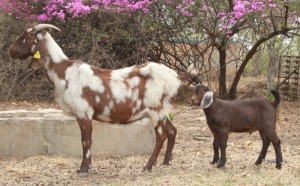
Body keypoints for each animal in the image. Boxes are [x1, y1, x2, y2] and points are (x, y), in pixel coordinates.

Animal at [7, 24, 197, 177]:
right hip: (163, 110)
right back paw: (166, 162)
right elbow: (85, 140)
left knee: (161, 136)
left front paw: (83, 169)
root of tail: (176, 76)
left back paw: (148, 166)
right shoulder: (80, 115)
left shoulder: (84, 112)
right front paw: (86, 167)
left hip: (155, 110)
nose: (10, 50)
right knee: (172, 131)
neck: (63, 71)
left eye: (27, 37)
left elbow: (86, 140)